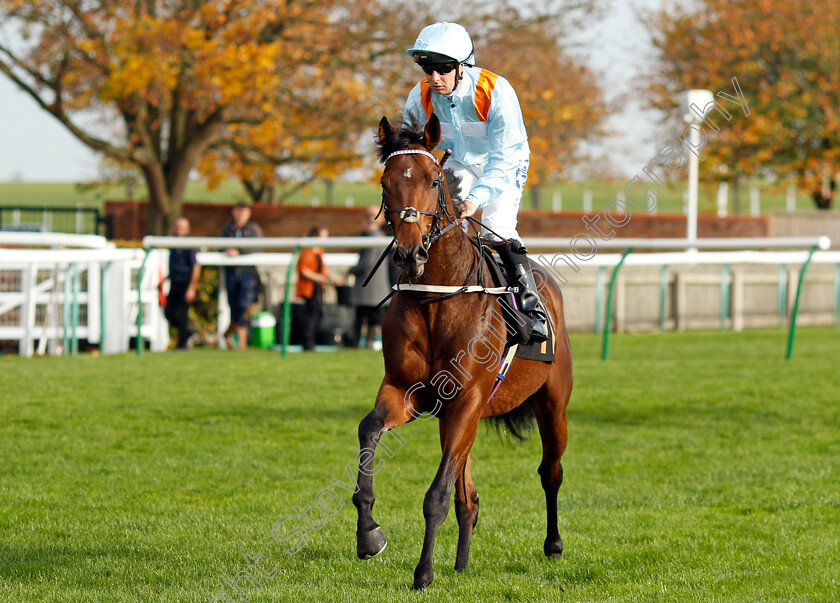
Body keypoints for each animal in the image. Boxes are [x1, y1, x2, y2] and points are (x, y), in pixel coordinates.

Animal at [352, 113, 576, 588]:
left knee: (550, 472)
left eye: (434, 180)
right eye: (385, 182)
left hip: (552, 403)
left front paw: (422, 573)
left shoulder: (469, 399)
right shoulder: (408, 392)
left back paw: (553, 545)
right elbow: (368, 430)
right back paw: (460, 562)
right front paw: (369, 534)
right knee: (468, 496)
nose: (410, 253)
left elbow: (436, 494)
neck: (436, 299)